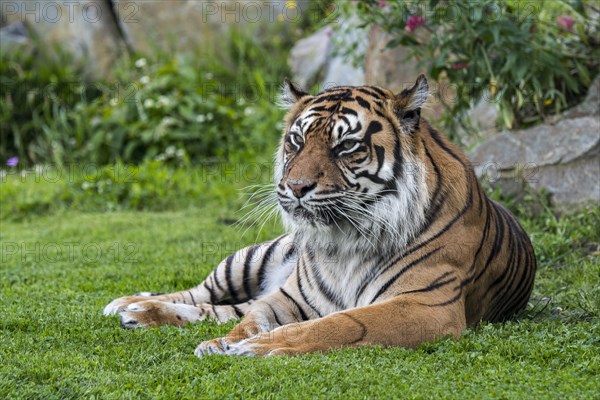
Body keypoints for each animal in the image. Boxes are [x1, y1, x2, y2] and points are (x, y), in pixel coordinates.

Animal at [104, 75, 540, 356]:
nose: (296, 187)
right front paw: (225, 342)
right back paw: (129, 305)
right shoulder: (288, 295)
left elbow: (339, 323)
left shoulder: (427, 306)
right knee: (202, 294)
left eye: (346, 146)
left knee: (216, 308)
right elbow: (251, 317)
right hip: (250, 259)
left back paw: (135, 313)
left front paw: (257, 346)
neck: (347, 241)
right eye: (297, 141)